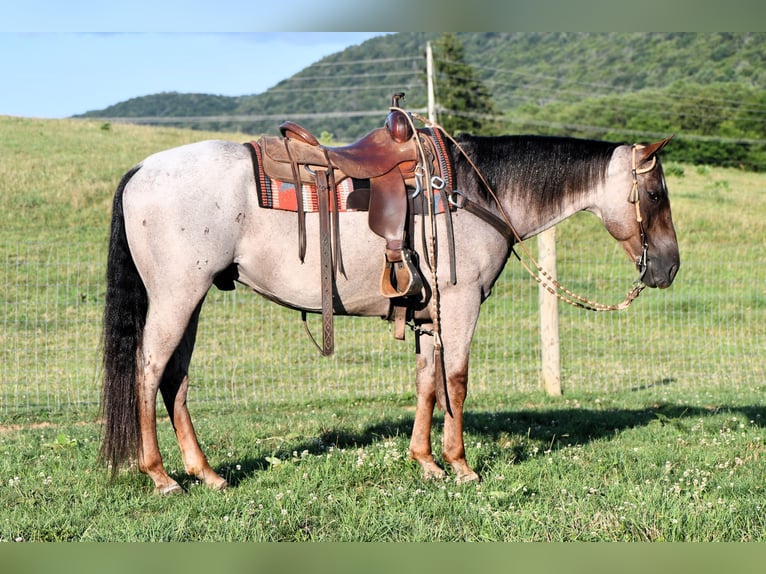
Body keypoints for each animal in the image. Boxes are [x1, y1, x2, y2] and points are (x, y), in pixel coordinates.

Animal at [99, 116, 680, 496]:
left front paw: (426, 462)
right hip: (177, 297)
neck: (473, 192)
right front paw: (461, 465)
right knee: (149, 371)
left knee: (176, 380)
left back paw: (206, 473)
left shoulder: (430, 315)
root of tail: (142, 170)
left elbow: (427, 382)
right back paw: (161, 476)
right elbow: (456, 382)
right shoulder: (462, 303)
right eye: (655, 194)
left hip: (192, 301)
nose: (669, 267)